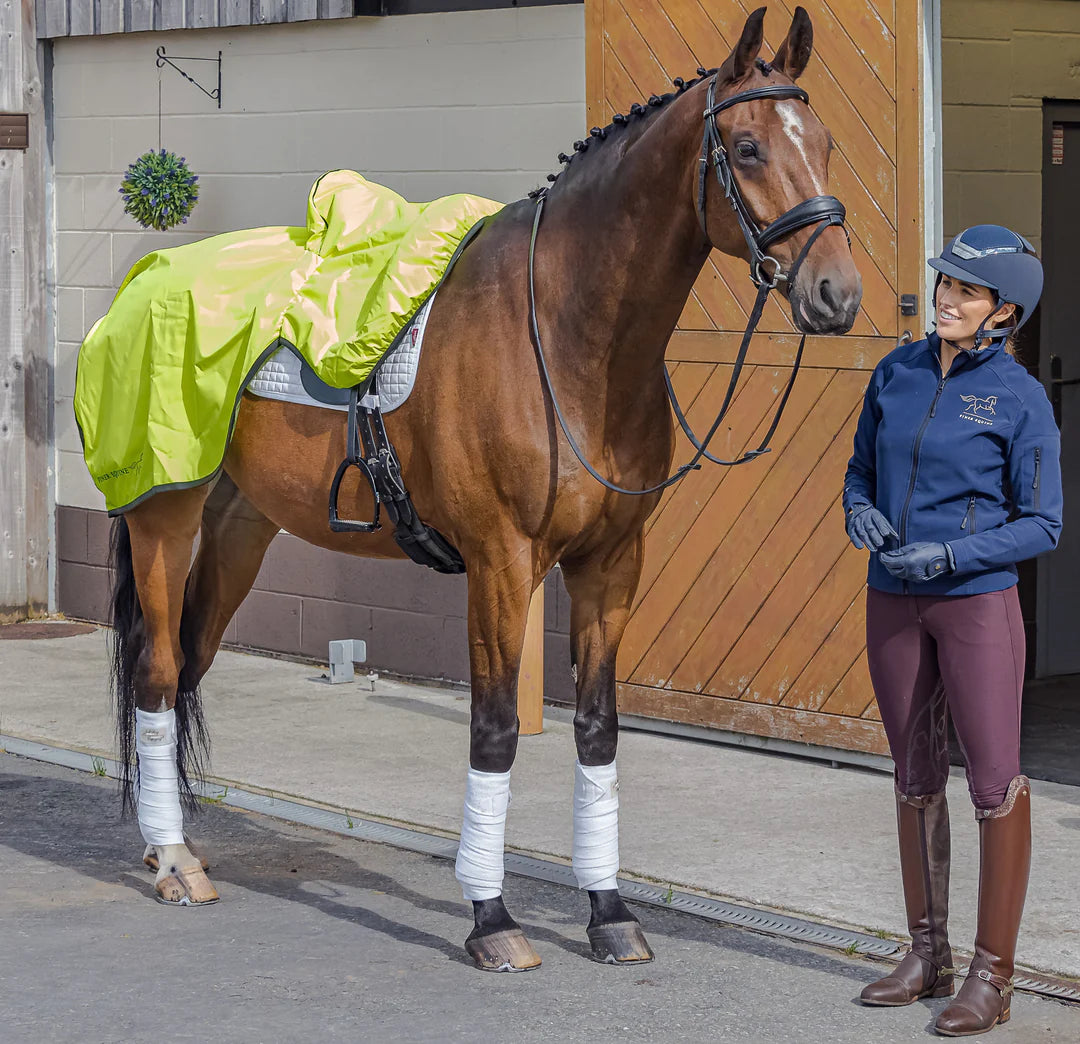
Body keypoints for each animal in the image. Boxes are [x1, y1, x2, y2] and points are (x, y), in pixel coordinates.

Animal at [109, 4, 859, 975]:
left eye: (826, 143)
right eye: (748, 146)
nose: (836, 293)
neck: (566, 338)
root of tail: (145, 282)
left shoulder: (611, 564)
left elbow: (598, 729)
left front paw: (609, 912)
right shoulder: (501, 563)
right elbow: (495, 731)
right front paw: (492, 917)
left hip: (240, 527)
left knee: (189, 667)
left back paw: (181, 849)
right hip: (163, 518)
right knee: (157, 674)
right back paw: (171, 864)